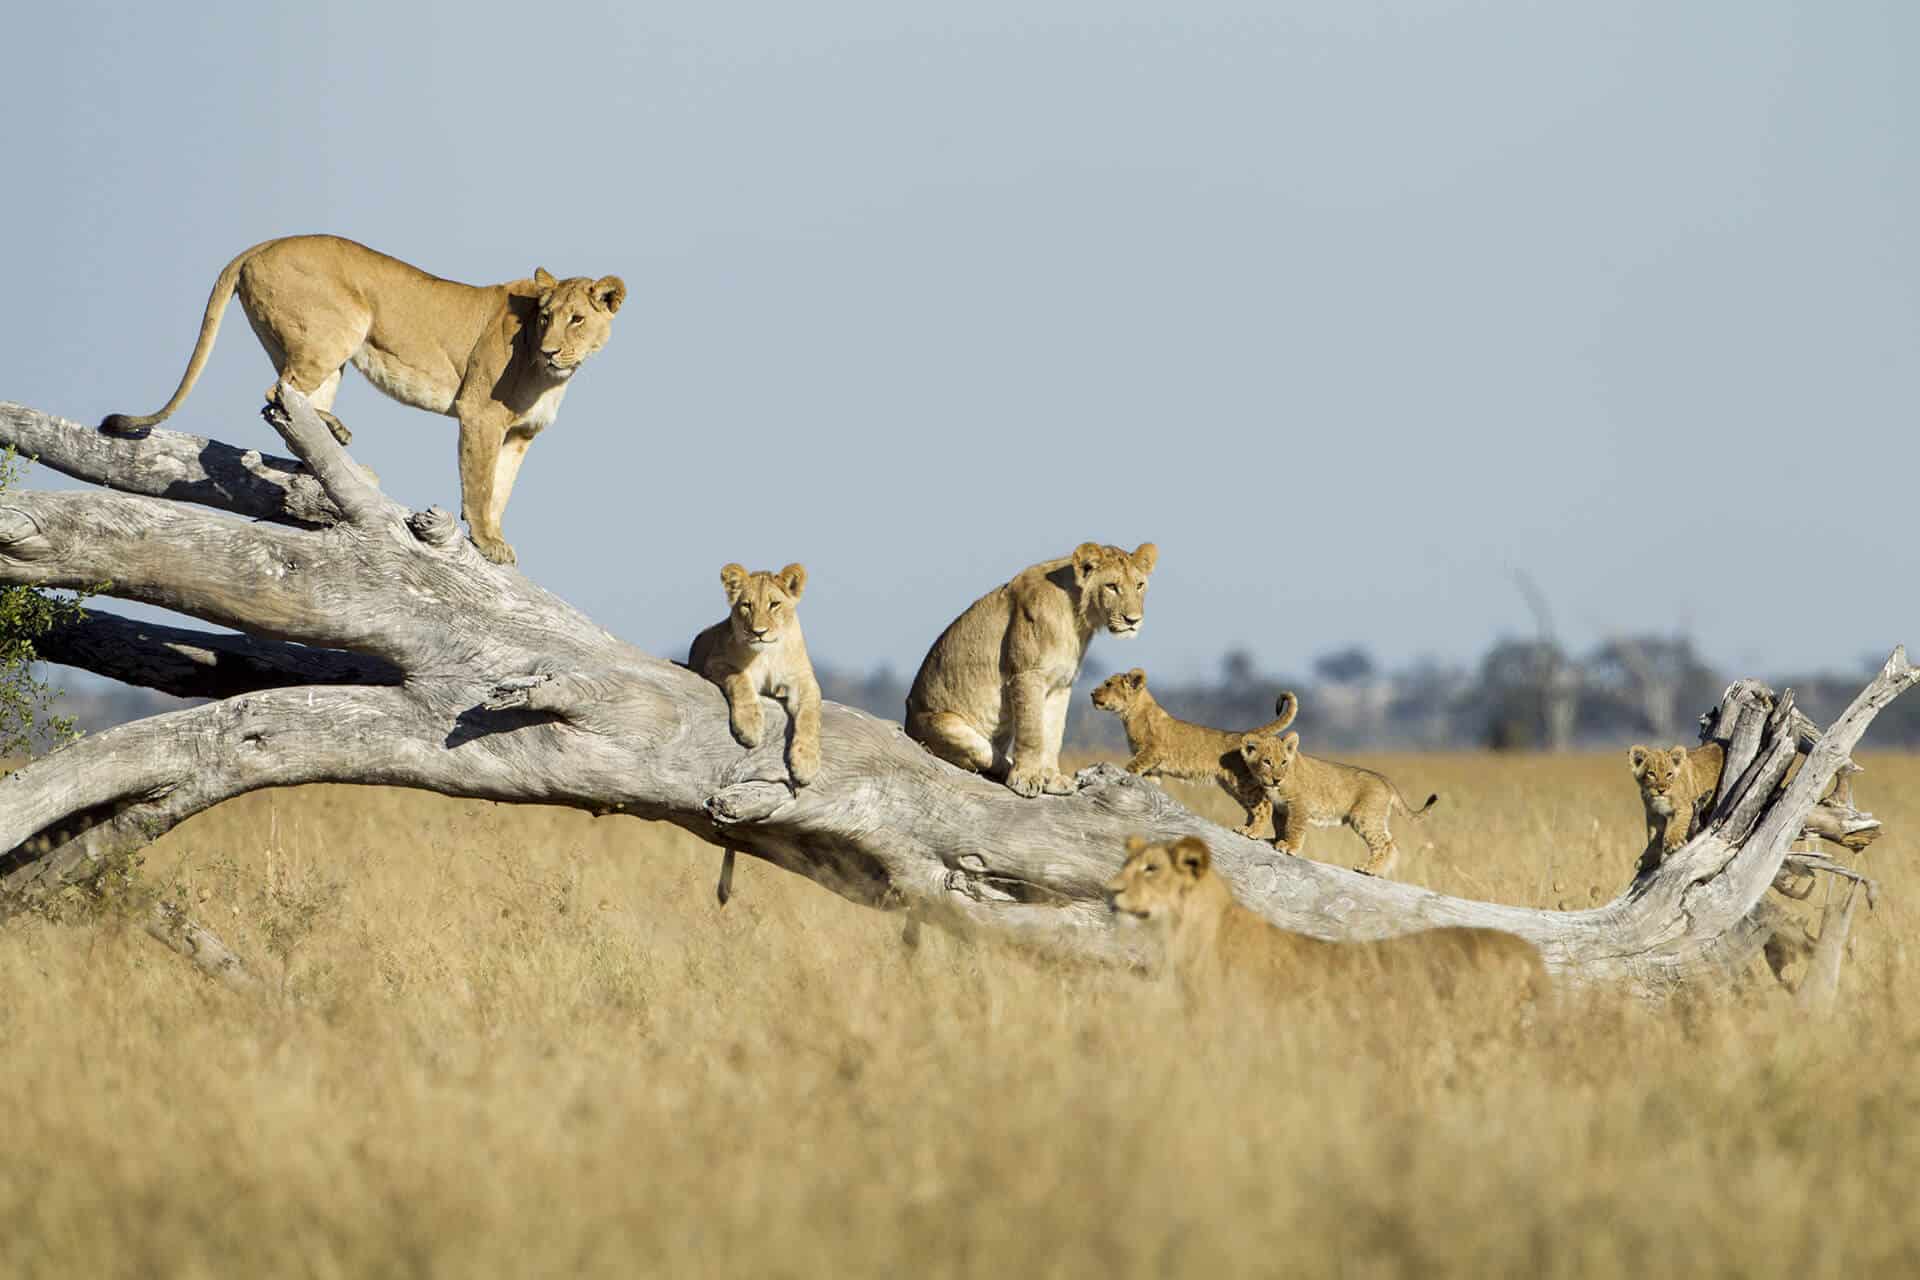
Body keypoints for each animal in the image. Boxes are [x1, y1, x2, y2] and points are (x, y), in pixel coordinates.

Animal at [100, 235, 626, 565]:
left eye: (576, 319)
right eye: (546, 317)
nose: (550, 350)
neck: (554, 376)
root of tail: (264, 243)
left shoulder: (519, 434)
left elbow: (502, 490)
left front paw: (496, 540)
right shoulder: (480, 414)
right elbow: (478, 485)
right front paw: (484, 540)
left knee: (289, 403)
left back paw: (330, 438)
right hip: (336, 330)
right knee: (277, 392)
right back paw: (335, 432)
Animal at [906, 542, 1156, 798]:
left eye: (1139, 585)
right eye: (1112, 586)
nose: (1133, 620)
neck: (1077, 618)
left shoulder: (1061, 684)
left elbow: (1053, 734)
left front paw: (1052, 779)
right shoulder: (1027, 674)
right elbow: (1032, 732)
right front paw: (1026, 778)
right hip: (946, 726)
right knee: (985, 757)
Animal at [1090, 668, 1298, 837]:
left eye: (1108, 684)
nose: (1092, 693)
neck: (1131, 714)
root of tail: (1242, 735)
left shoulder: (1152, 752)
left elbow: (1131, 767)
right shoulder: (1154, 767)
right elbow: (1150, 783)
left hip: (1243, 782)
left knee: (1265, 805)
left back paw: (1253, 832)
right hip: (1232, 786)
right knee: (1252, 808)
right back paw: (1244, 828)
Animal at [1237, 730, 1436, 877]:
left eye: (1284, 762)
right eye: (1267, 762)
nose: (1277, 779)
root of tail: (1385, 780)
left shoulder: (1299, 805)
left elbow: (1294, 828)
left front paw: (1289, 847)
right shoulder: (1281, 808)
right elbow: (1279, 825)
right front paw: (1272, 838)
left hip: (1364, 817)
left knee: (1386, 843)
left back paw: (1369, 869)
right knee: (1391, 842)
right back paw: (1379, 870)